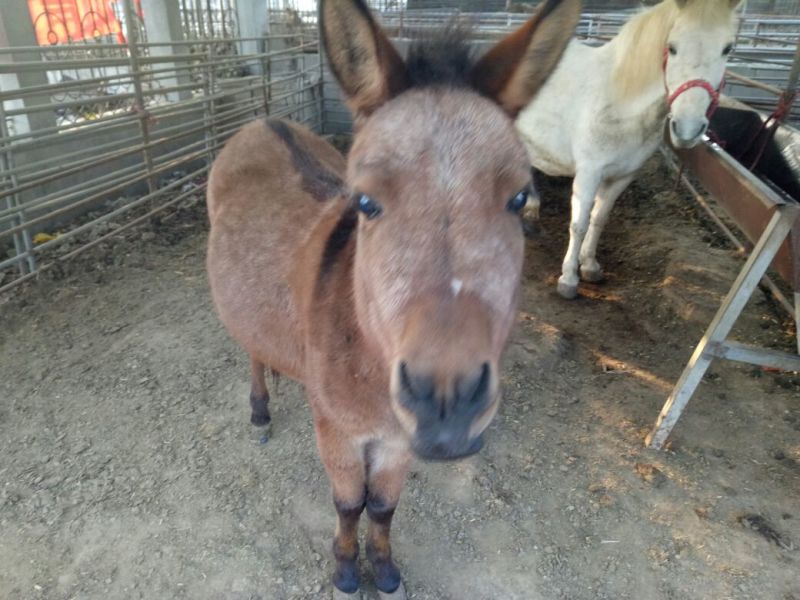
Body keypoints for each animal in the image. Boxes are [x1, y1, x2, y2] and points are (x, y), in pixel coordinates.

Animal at [206, 0, 581, 597]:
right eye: (365, 202)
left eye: (520, 198)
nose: (448, 408)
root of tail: (264, 121)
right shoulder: (338, 431)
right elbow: (348, 503)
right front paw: (344, 568)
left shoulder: (398, 440)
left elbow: (381, 507)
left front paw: (383, 569)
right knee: (252, 352)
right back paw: (260, 409)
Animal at [515, 0, 741, 299]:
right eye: (672, 47)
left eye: (727, 48)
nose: (688, 128)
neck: (619, 101)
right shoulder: (589, 173)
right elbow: (579, 223)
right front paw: (568, 278)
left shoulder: (623, 175)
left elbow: (599, 219)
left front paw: (589, 266)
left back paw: (530, 210)